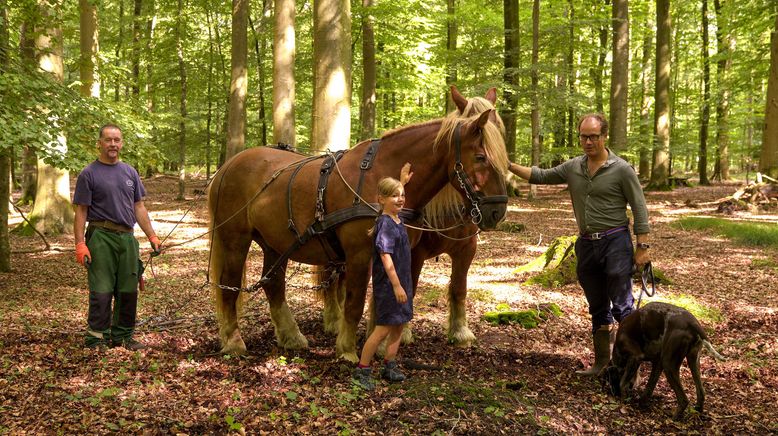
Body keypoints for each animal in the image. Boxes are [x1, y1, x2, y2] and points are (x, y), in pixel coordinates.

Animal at [208, 87, 510, 360]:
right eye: (481, 157)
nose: (497, 210)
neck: (381, 179)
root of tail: (228, 166)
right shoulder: (360, 254)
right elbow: (355, 301)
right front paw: (347, 350)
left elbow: (385, 298)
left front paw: (378, 345)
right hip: (235, 239)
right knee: (229, 285)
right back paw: (233, 341)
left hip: (276, 243)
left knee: (273, 285)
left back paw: (291, 336)